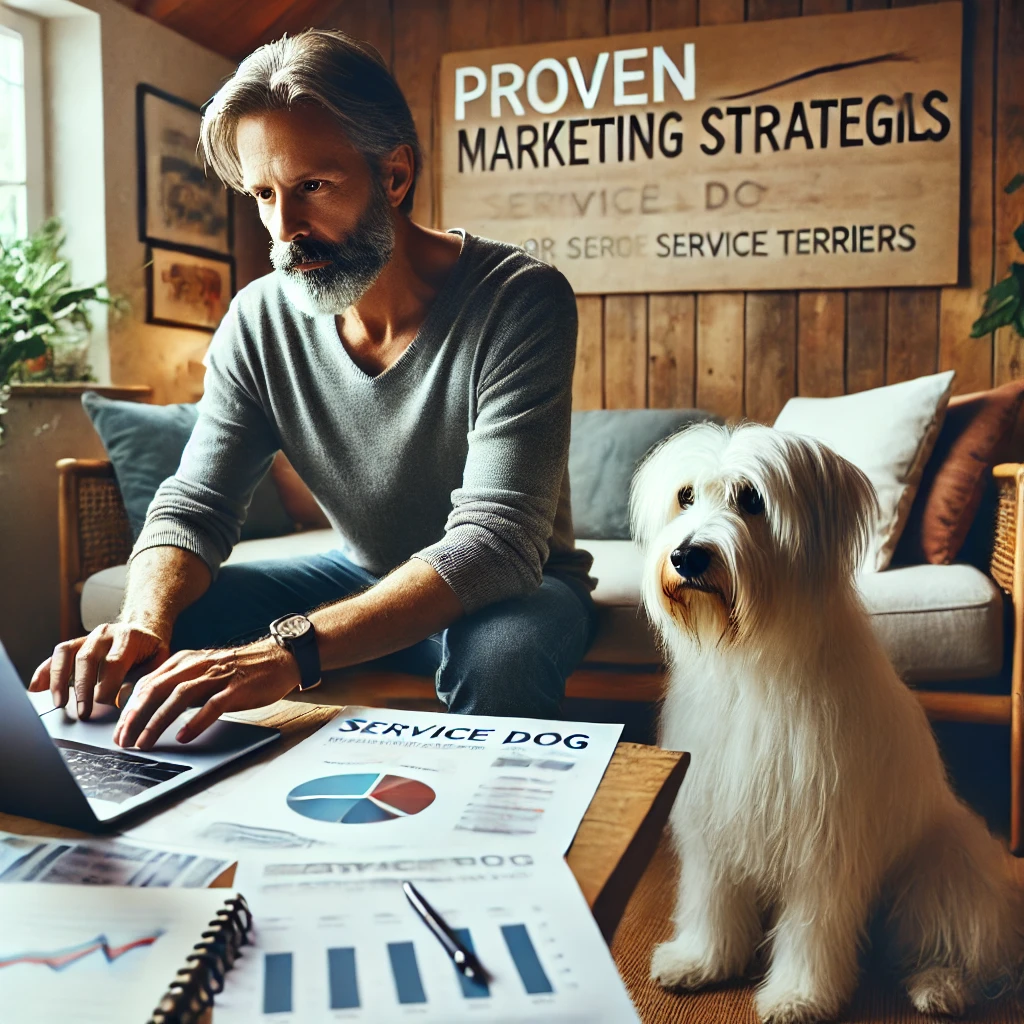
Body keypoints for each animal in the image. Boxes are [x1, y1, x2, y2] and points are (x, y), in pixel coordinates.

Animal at [630, 421, 1024, 1024]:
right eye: (686, 496)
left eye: (751, 499)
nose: (687, 556)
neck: (753, 658)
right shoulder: (717, 812)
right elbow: (712, 898)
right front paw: (703, 960)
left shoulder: (825, 834)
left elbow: (812, 928)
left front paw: (798, 995)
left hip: (940, 869)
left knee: (963, 947)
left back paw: (939, 985)